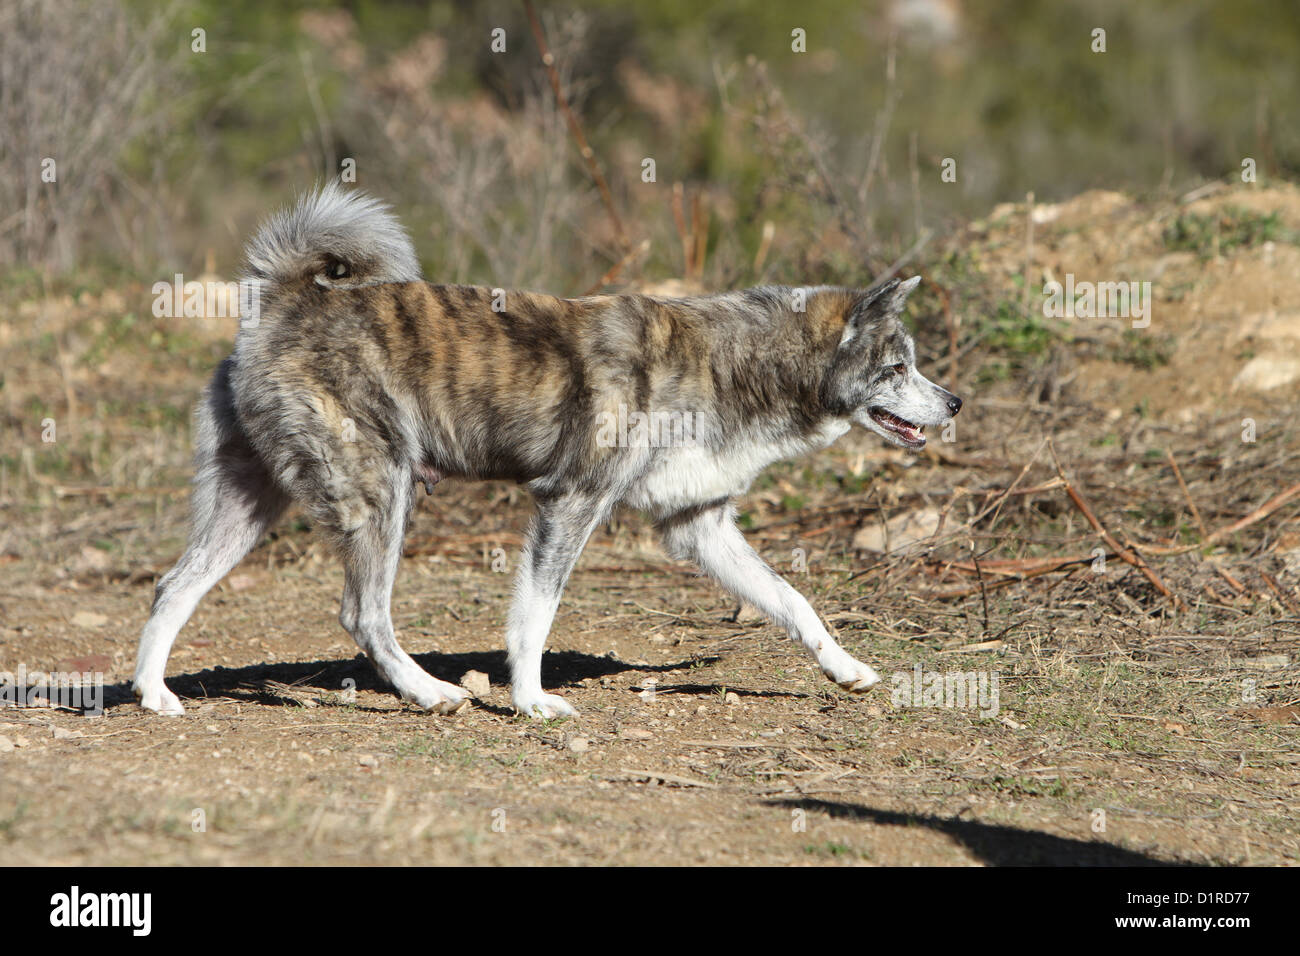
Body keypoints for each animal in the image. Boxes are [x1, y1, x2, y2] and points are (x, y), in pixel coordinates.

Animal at [134, 184, 956, 717]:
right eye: (896, 367)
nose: (953, 403)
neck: (731, 362)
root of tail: (286, 296)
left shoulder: (700, 527)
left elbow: (794, 601)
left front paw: (847, 670)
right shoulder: (570, 503)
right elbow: (536, 615)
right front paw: (530, 702)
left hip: (249, 505)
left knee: (172, 587)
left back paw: (153, 695)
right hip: (380, 497)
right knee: (363, 615)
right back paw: (430, 694)